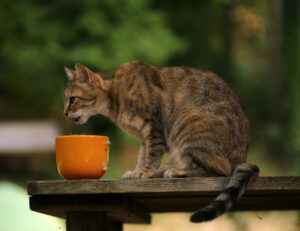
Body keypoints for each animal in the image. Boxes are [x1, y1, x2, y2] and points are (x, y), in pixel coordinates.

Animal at [62, 61, 258, 222]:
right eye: (66, 99)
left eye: (72, 100)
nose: (64, 113)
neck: (115, 97)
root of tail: (241, 157)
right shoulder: (144, 137)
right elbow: (143, 155)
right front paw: (138, 171)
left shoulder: (154, 128)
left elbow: (152, 154)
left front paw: (145, 172)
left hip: (188, 123)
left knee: (219, 170)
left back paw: (176, 171)